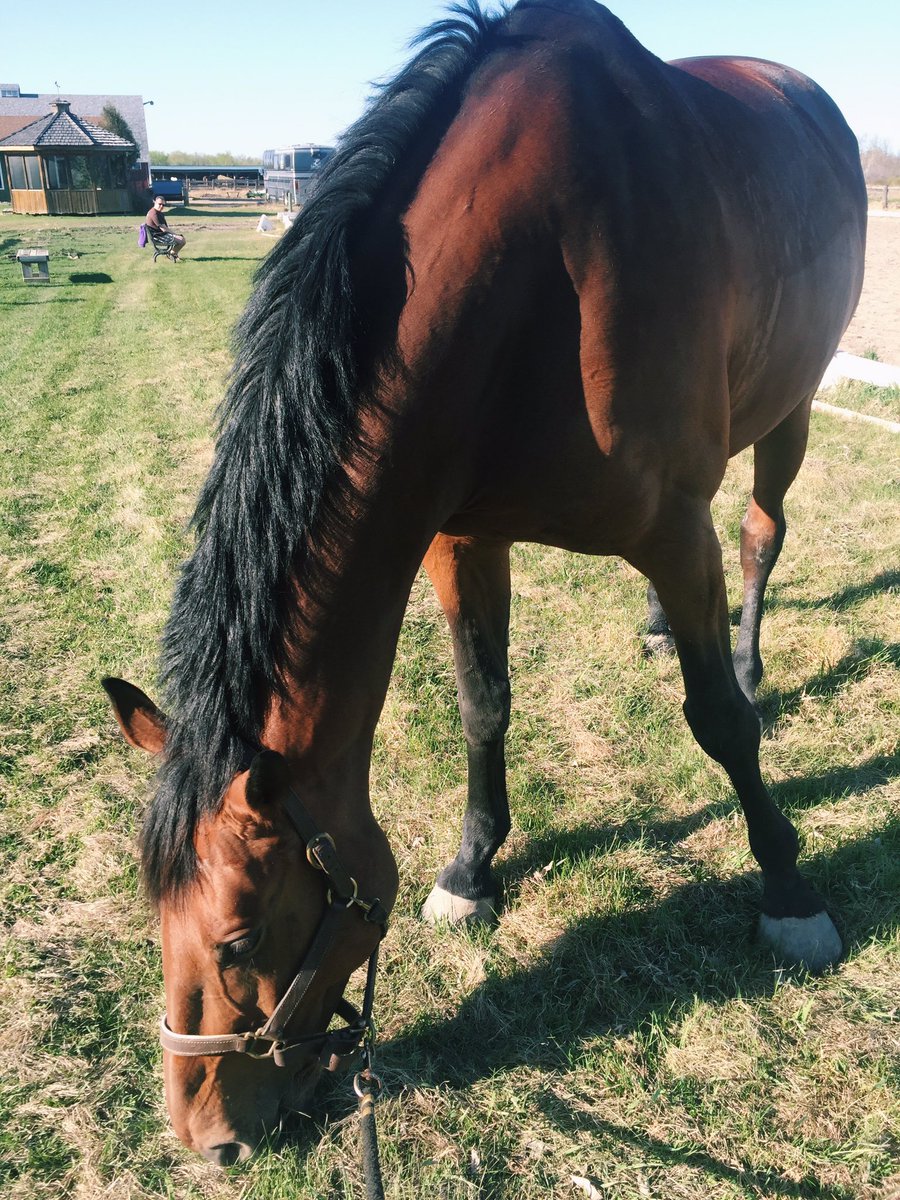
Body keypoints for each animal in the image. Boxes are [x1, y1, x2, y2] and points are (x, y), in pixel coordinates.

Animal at [103, 0, 866, 1165]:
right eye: (153, 917)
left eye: (239, 935)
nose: (206, 1138)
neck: (543, 271)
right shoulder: (459, 539)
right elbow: (483, 700)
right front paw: (471, 873)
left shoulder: (671, 528)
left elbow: (720, 724)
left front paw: (786, 887)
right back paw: (659, 626)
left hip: (788, 412)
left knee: (759, 536)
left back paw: (745, 654)